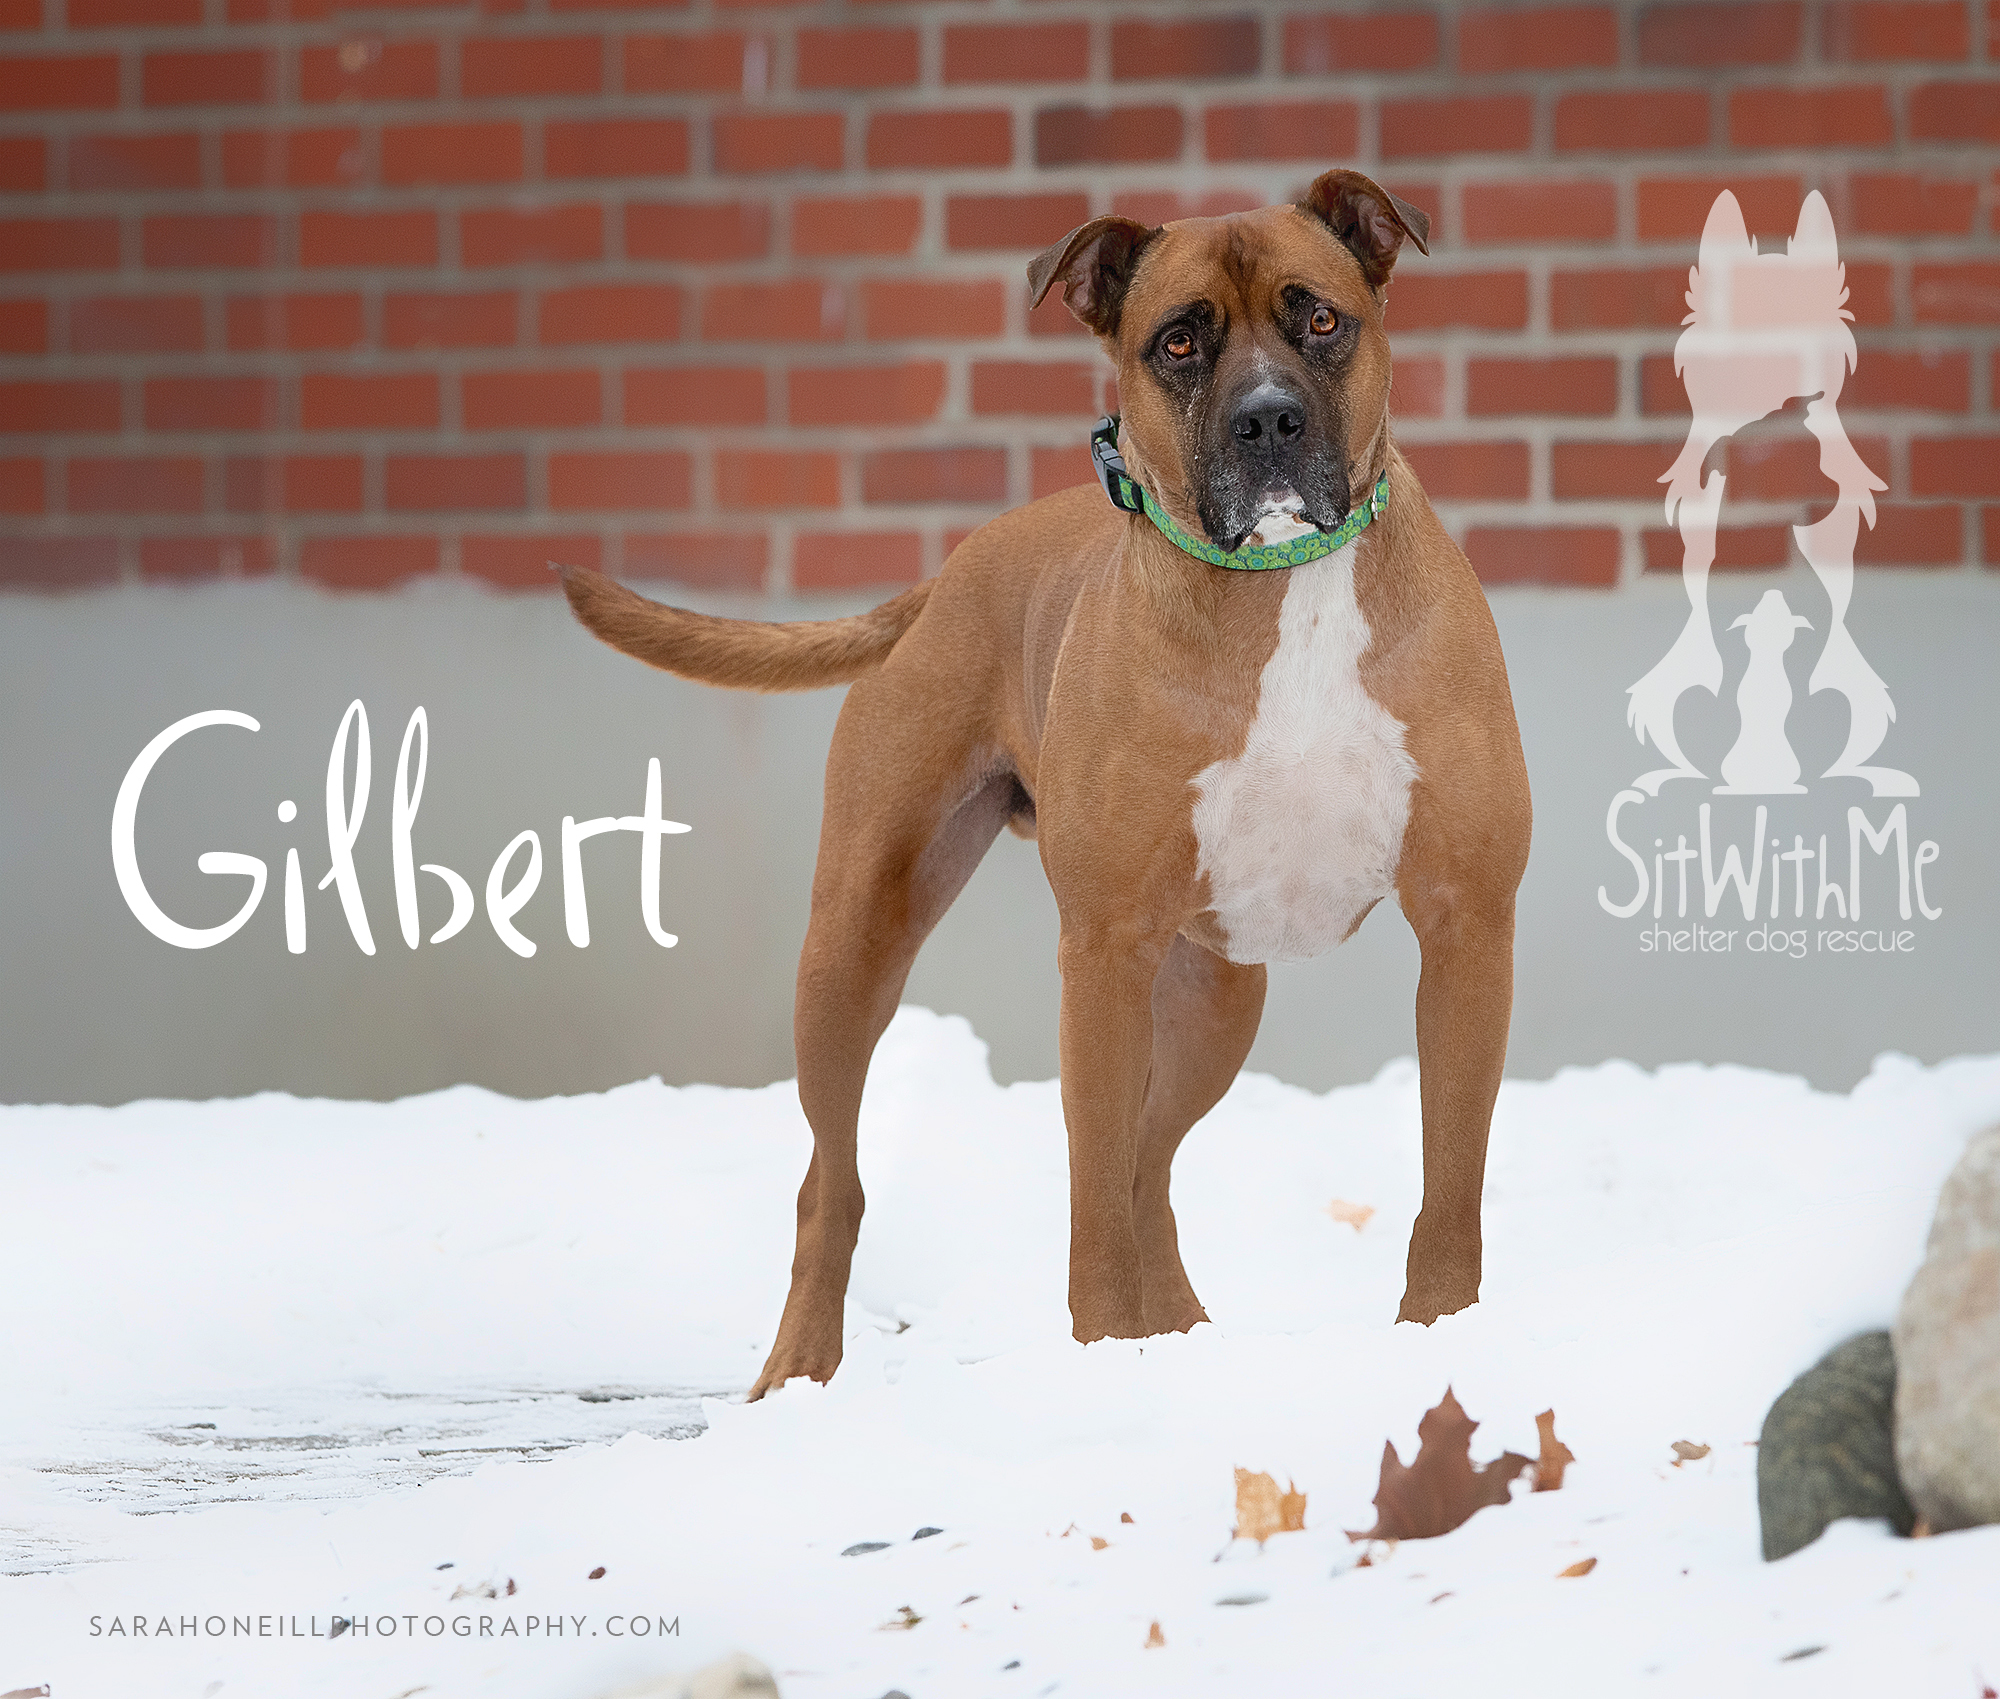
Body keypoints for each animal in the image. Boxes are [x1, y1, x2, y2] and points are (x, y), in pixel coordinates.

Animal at [564, 165, 1528, 1399]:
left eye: (1320, 319)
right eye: (1177, 341)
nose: (1268, 418)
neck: (1285, 585)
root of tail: (944, 576)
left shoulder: (1465, 927)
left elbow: (1448, 1179)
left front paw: (1439, 1338)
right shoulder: (1102, 953)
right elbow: (1090, 1210)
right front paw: (1104, 1362)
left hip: (1214, 993)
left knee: (1149, 1161)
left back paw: (1182, 1341)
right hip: (855, 947)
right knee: (838, 1179)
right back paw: (801, 1369)